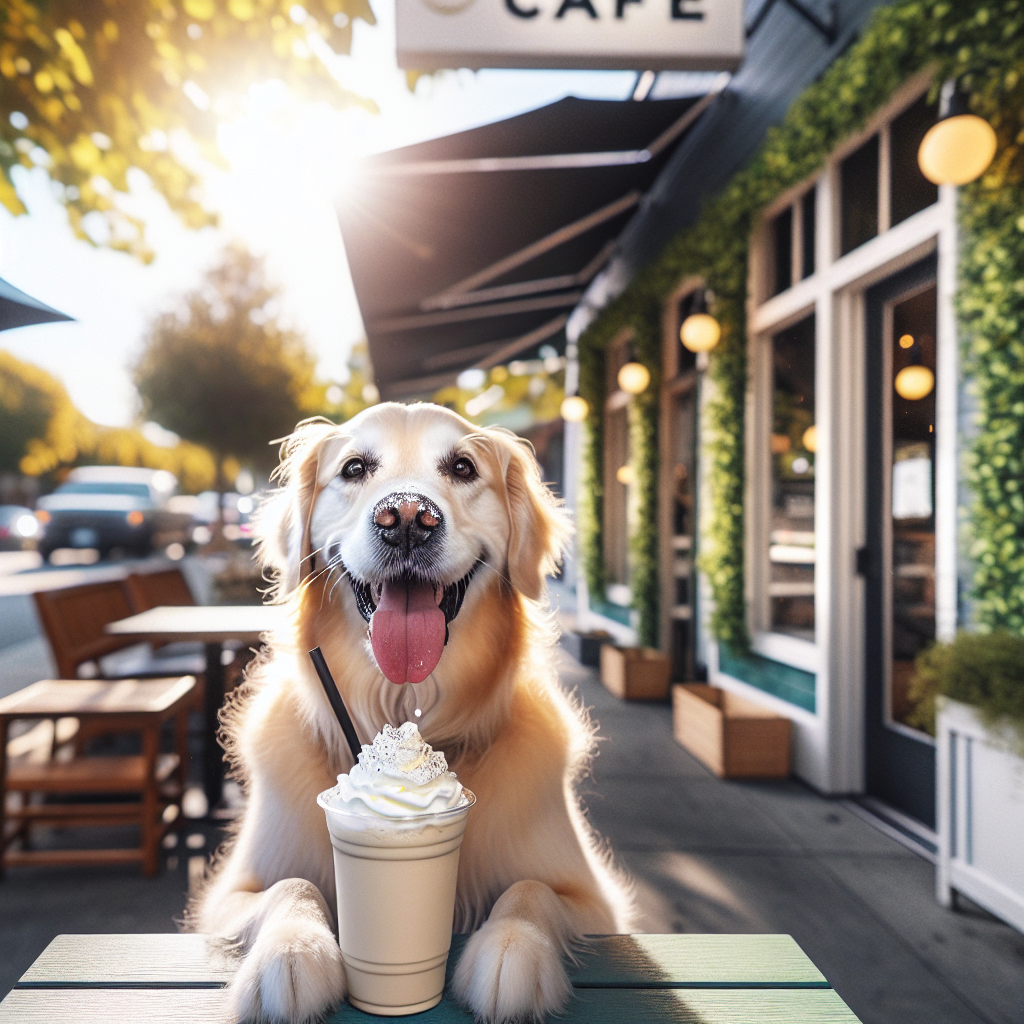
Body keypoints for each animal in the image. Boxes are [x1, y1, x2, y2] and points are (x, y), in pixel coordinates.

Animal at [193, 401, 630, 1024]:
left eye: (463, 467)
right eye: (354, 468)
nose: (404, 518)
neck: (403, 702)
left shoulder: (594, 901)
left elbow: (531, 890)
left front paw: (511, 949)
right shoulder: (231, 892)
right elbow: (291, 886)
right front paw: (293, 951)